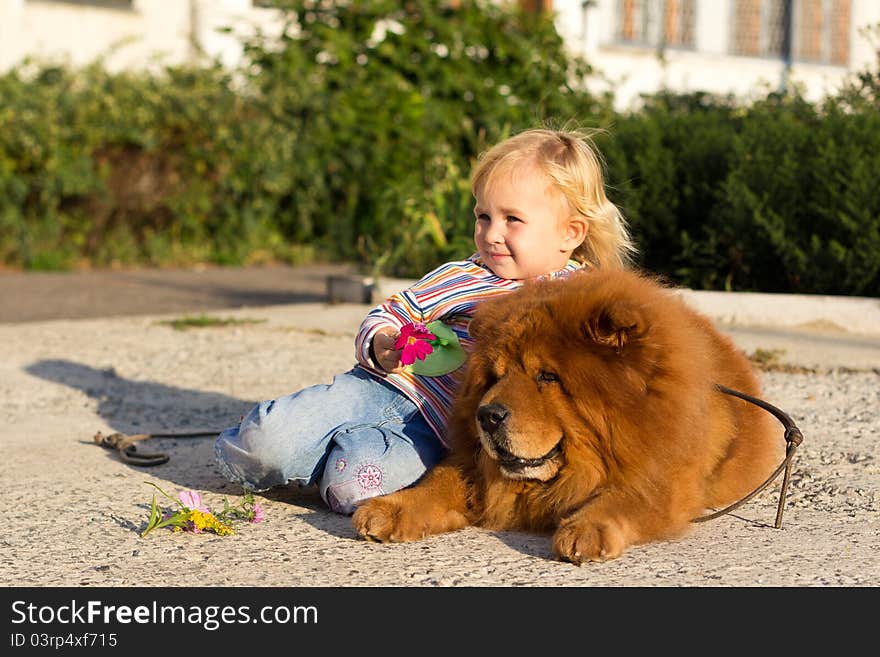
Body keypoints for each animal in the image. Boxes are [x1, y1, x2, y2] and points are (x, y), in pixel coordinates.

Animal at [354, 270, 780, 560]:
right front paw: (388, 509)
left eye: (547, 377)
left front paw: (586, 530)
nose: (487, 415)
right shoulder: (476, 469)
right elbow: (438, 482)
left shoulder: (665, 475)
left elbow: (627, 497)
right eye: (495, 376)